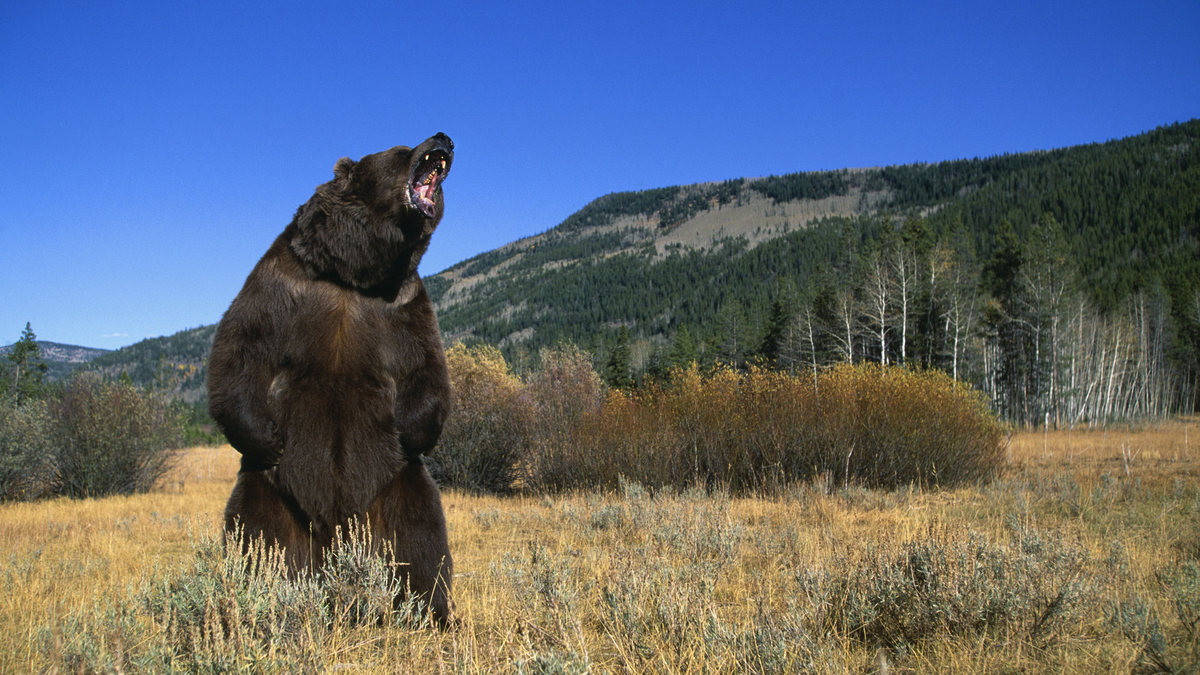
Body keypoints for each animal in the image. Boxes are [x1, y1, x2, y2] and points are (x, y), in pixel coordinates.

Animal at [206, 131, 453, 619]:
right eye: (401, 149)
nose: (444, 138)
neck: (352, 274)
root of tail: (334, 542)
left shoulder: (404, 304)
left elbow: (426, 366)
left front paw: (411, 430)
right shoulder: (282, 283)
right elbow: (239, 349)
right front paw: (266, 436)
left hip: (397, 486)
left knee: (420, 541)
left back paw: (431, 611)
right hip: (270, 492)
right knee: (256, 539)